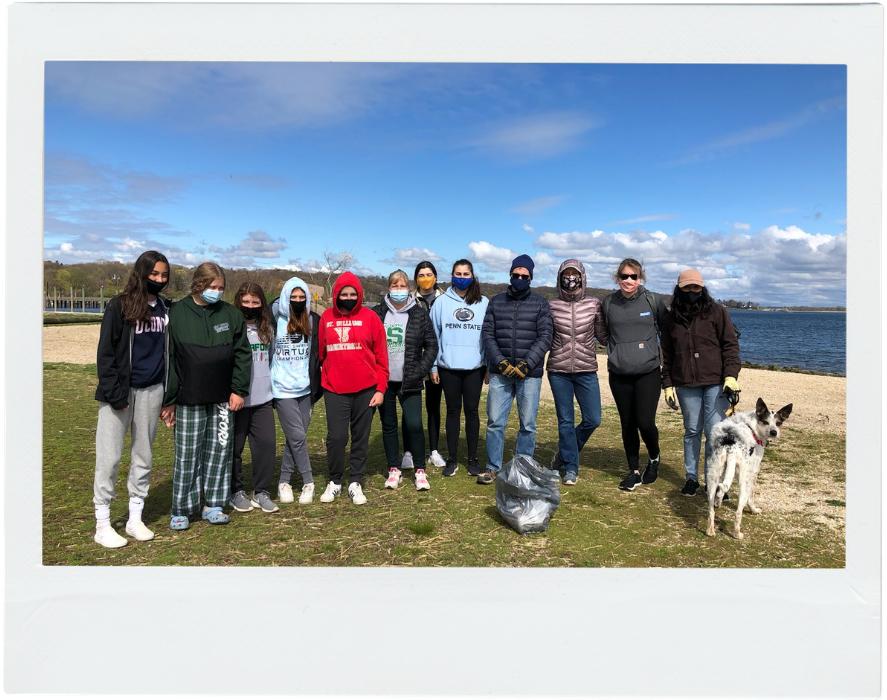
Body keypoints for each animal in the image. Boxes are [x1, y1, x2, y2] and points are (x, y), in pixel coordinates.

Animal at [708, 396, 796, 540]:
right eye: (766, 422)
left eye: (778, 423)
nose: (773, 432)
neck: (753, 425)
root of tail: (731, 446)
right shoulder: (753, 474)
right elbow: (751, 497)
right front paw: (754, 510)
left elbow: (720, 494)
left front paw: (718, 502)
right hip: (743, 482)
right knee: (738, 512)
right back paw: (737, 534)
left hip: (713, 477)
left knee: (711, 509)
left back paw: (710, 530)